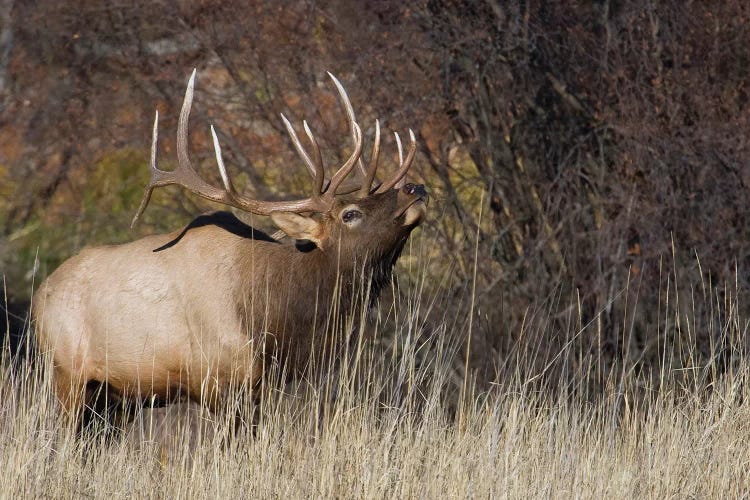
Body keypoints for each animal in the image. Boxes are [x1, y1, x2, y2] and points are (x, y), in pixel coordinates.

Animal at [32, 70, 428, 426]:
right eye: (350, 214)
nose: (416, 188)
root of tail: (41, 291)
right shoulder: (217, 381)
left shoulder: (262, 389)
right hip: (67, 373)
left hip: (116, 398)